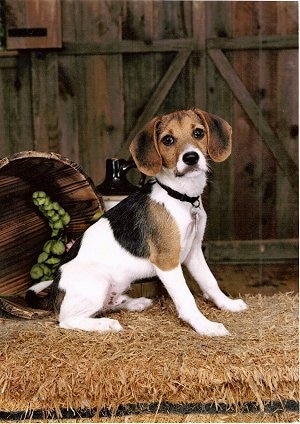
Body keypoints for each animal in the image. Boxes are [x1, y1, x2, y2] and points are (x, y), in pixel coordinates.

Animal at [26, 107, 246, 336]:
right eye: (168, 140)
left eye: (198, 133)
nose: (191, 158)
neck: (181, 196)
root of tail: (54, 293)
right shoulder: (167, 261)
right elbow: (186, 298)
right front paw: (205, 325)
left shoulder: (193, 252)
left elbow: (210, 281)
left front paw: (227, 304)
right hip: (97, 283)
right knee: (67, 320)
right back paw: (105, 324)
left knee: (107, 305)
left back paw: (134, 303)